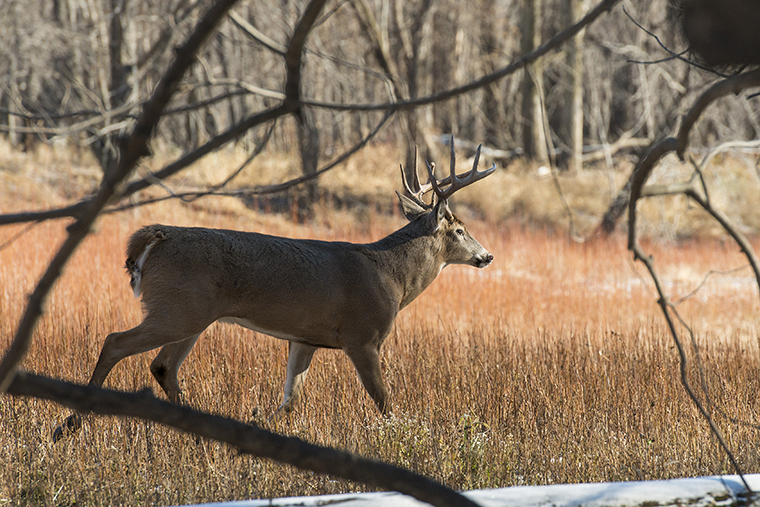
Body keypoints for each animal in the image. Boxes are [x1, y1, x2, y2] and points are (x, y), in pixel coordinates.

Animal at [52, 141, 492, 442]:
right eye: (459, 229)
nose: (486, 256)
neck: (394, 278)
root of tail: (154, 237)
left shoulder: (306, 338)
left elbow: (289, 398)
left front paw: (257, 423)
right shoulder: (362, 336)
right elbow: (384, 401)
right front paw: (406, 438)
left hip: (191, 316)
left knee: (162, 366)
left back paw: (196, 435)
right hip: (178, 309)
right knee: (115, 342)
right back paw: (68, 425)